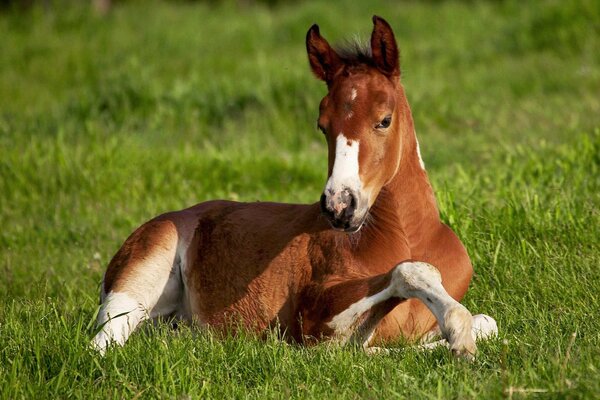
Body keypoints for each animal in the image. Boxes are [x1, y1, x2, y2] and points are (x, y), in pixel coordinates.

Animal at [92, 17, 496, 358]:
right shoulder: (313, 316)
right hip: (138, 278)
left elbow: (488, 323)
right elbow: (406, 276)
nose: (339, 205)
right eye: (322, 125)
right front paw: (457, 333)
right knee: (102, 344)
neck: (408, 236)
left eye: (384, 119)